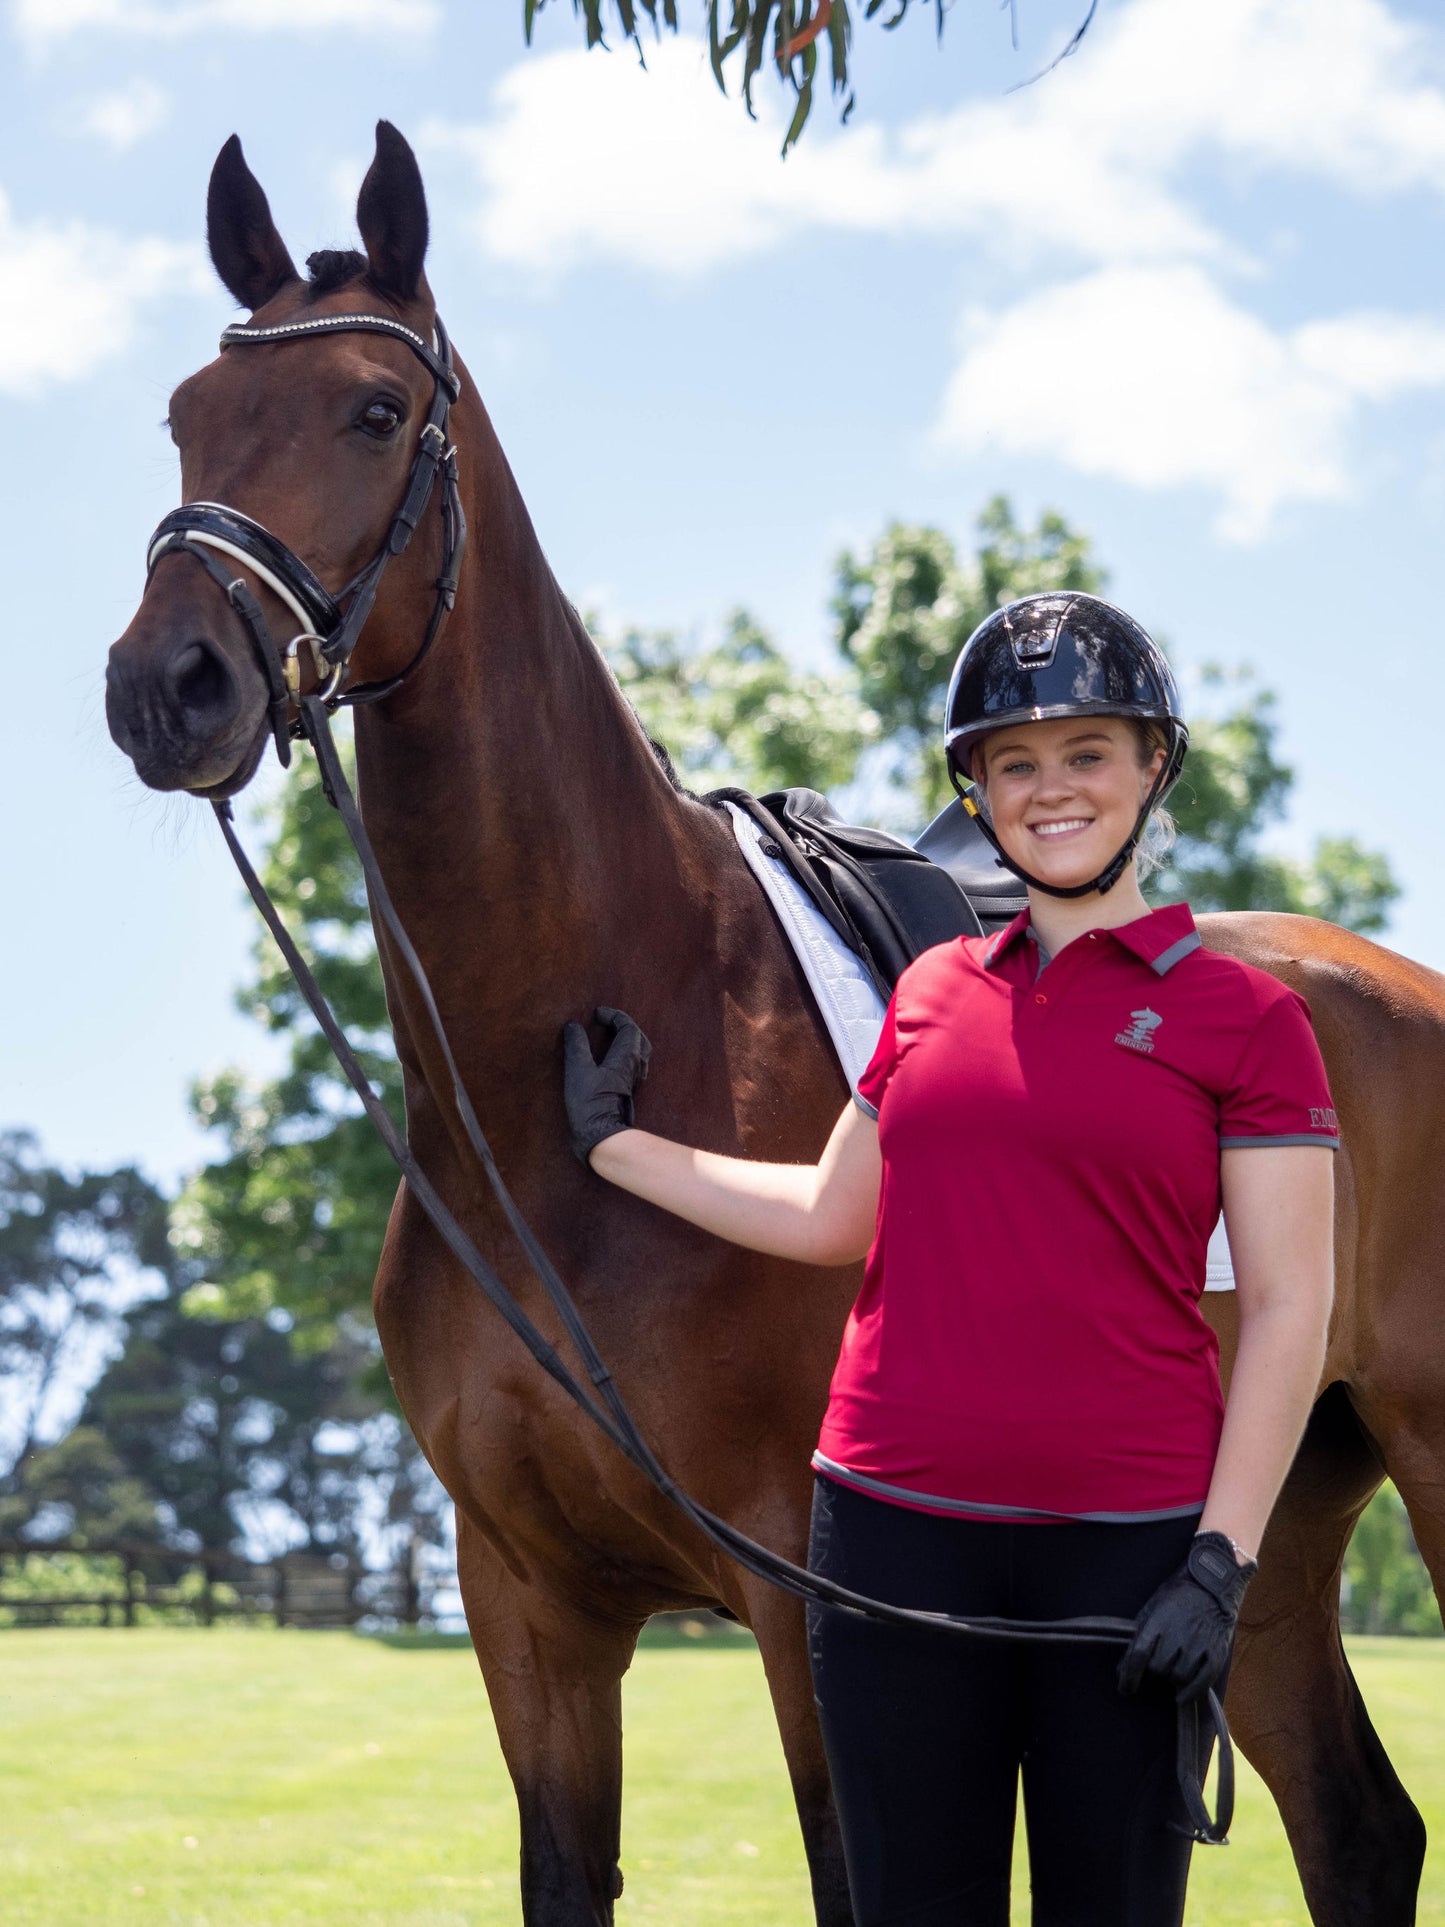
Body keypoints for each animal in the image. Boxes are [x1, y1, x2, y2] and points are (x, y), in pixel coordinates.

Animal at [104, 128, 1445, 1919]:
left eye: (374, 413)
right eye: (187, 413)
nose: (164, 685)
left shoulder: (813, 1603)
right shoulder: (526, 1605)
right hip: (1266, 1532)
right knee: (1358, 1827)